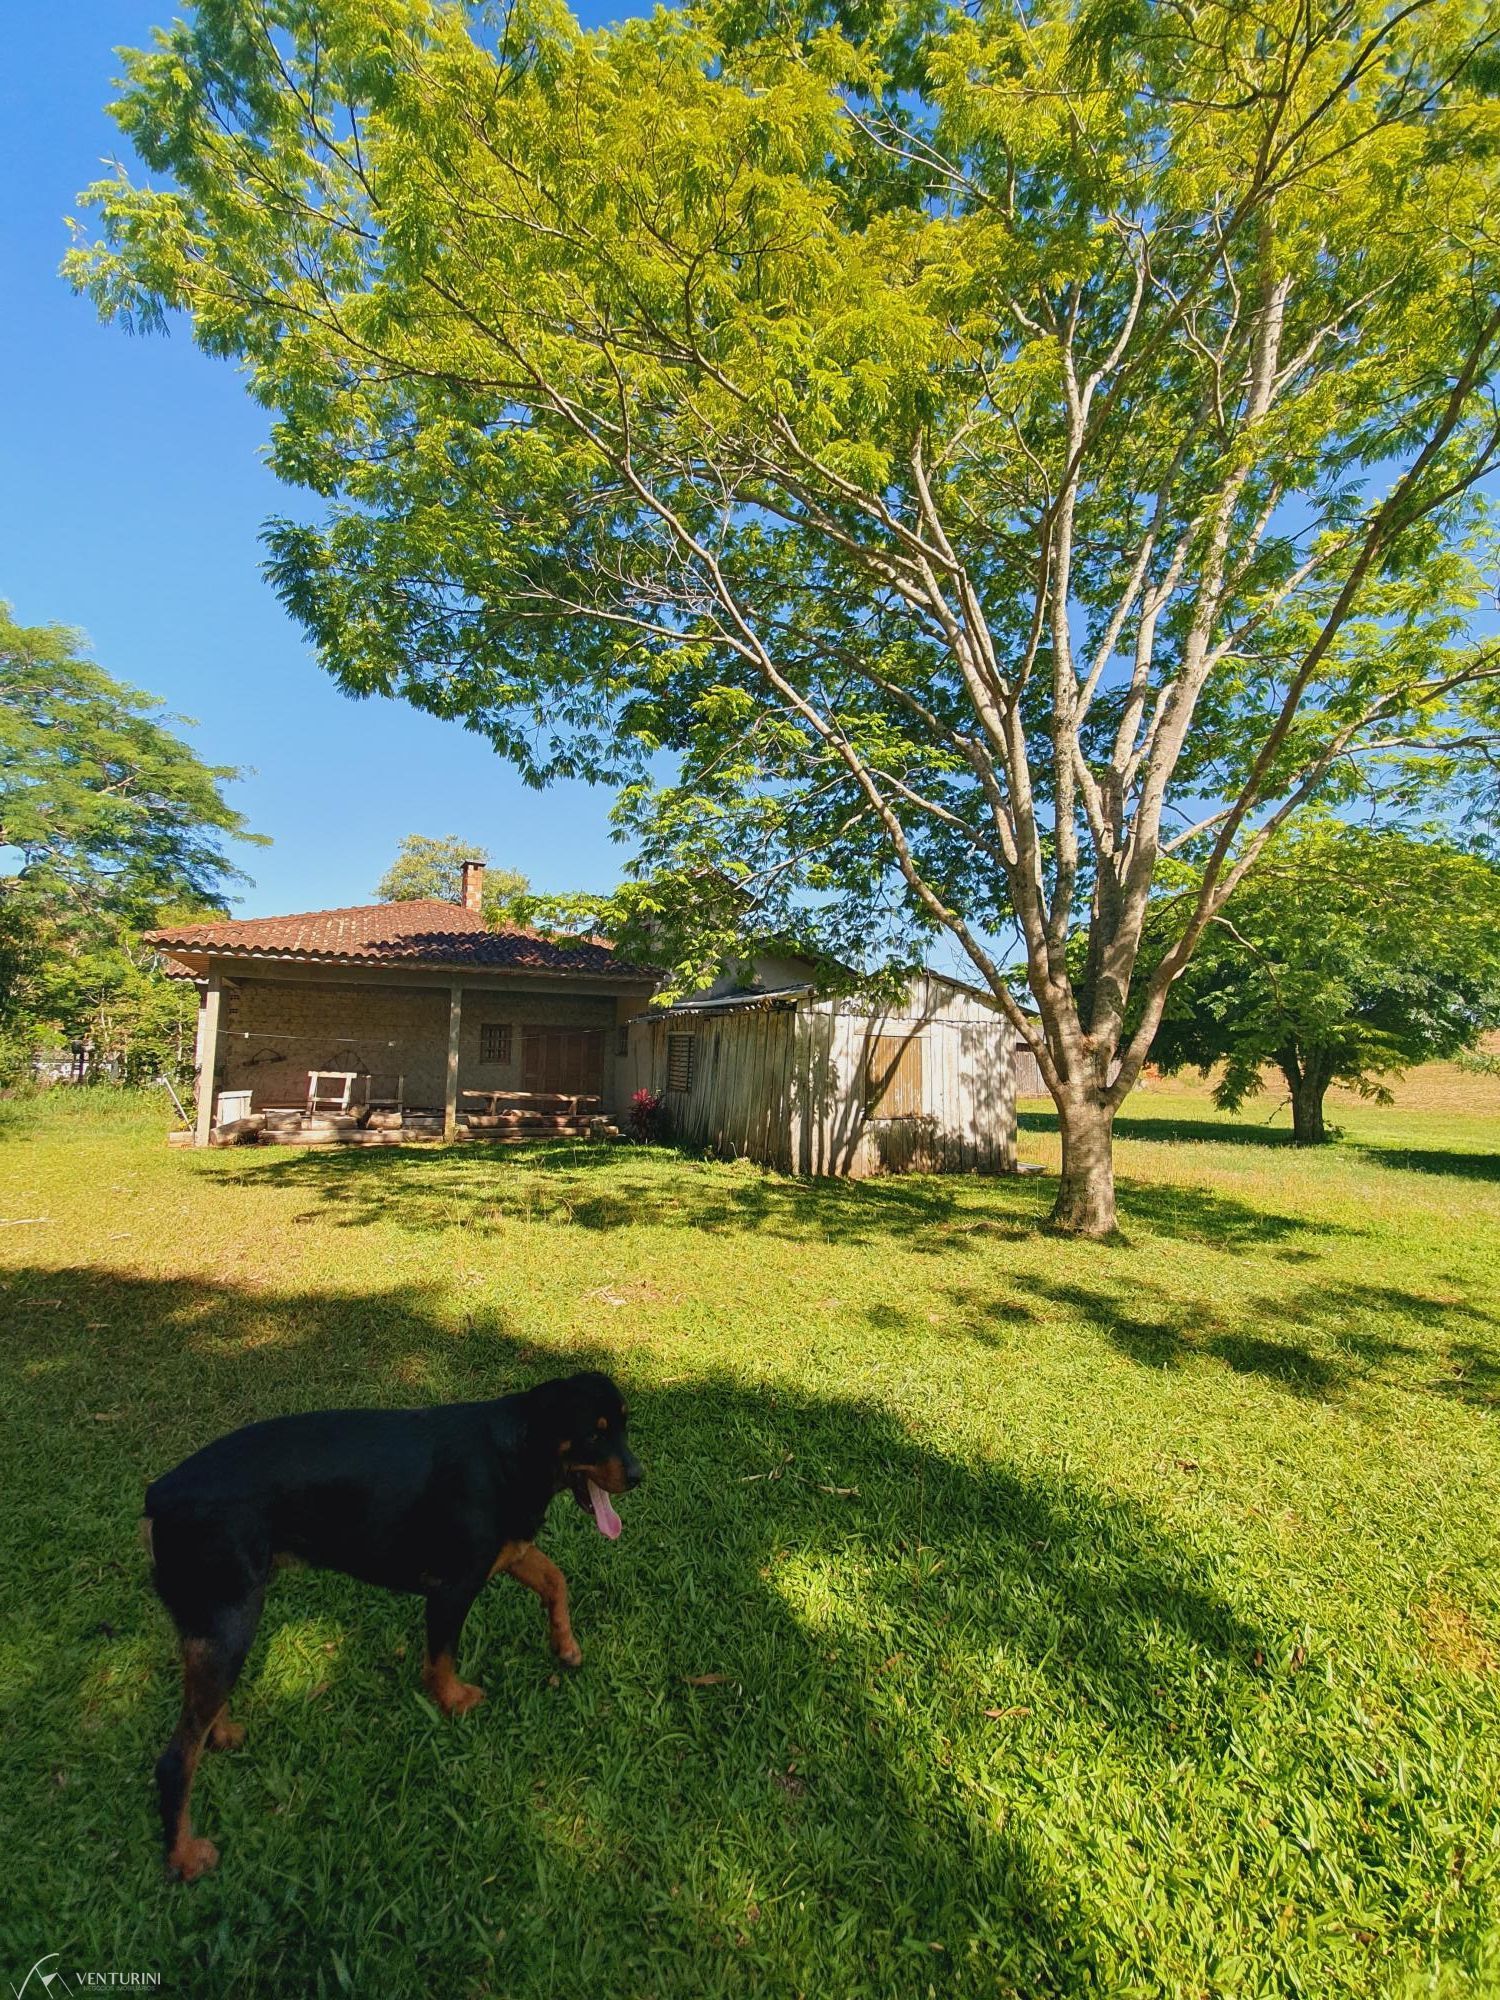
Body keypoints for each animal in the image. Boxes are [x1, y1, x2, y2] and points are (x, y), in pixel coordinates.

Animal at [138, 1368, 636, 1880]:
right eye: (595, 1433)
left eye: (624, 1425)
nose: (638, 1476)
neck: (516, 1450)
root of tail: (158, 1496)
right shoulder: (452, 1588)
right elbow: (440, 1660)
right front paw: (453, 1702)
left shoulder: (509, 1553)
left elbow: (556, 1581)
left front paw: (565, 1645)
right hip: (231, 1623)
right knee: (175, 1759)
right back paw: (184, 1858)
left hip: (216, 1630)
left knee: (200, 1717)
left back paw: (221, 1735)